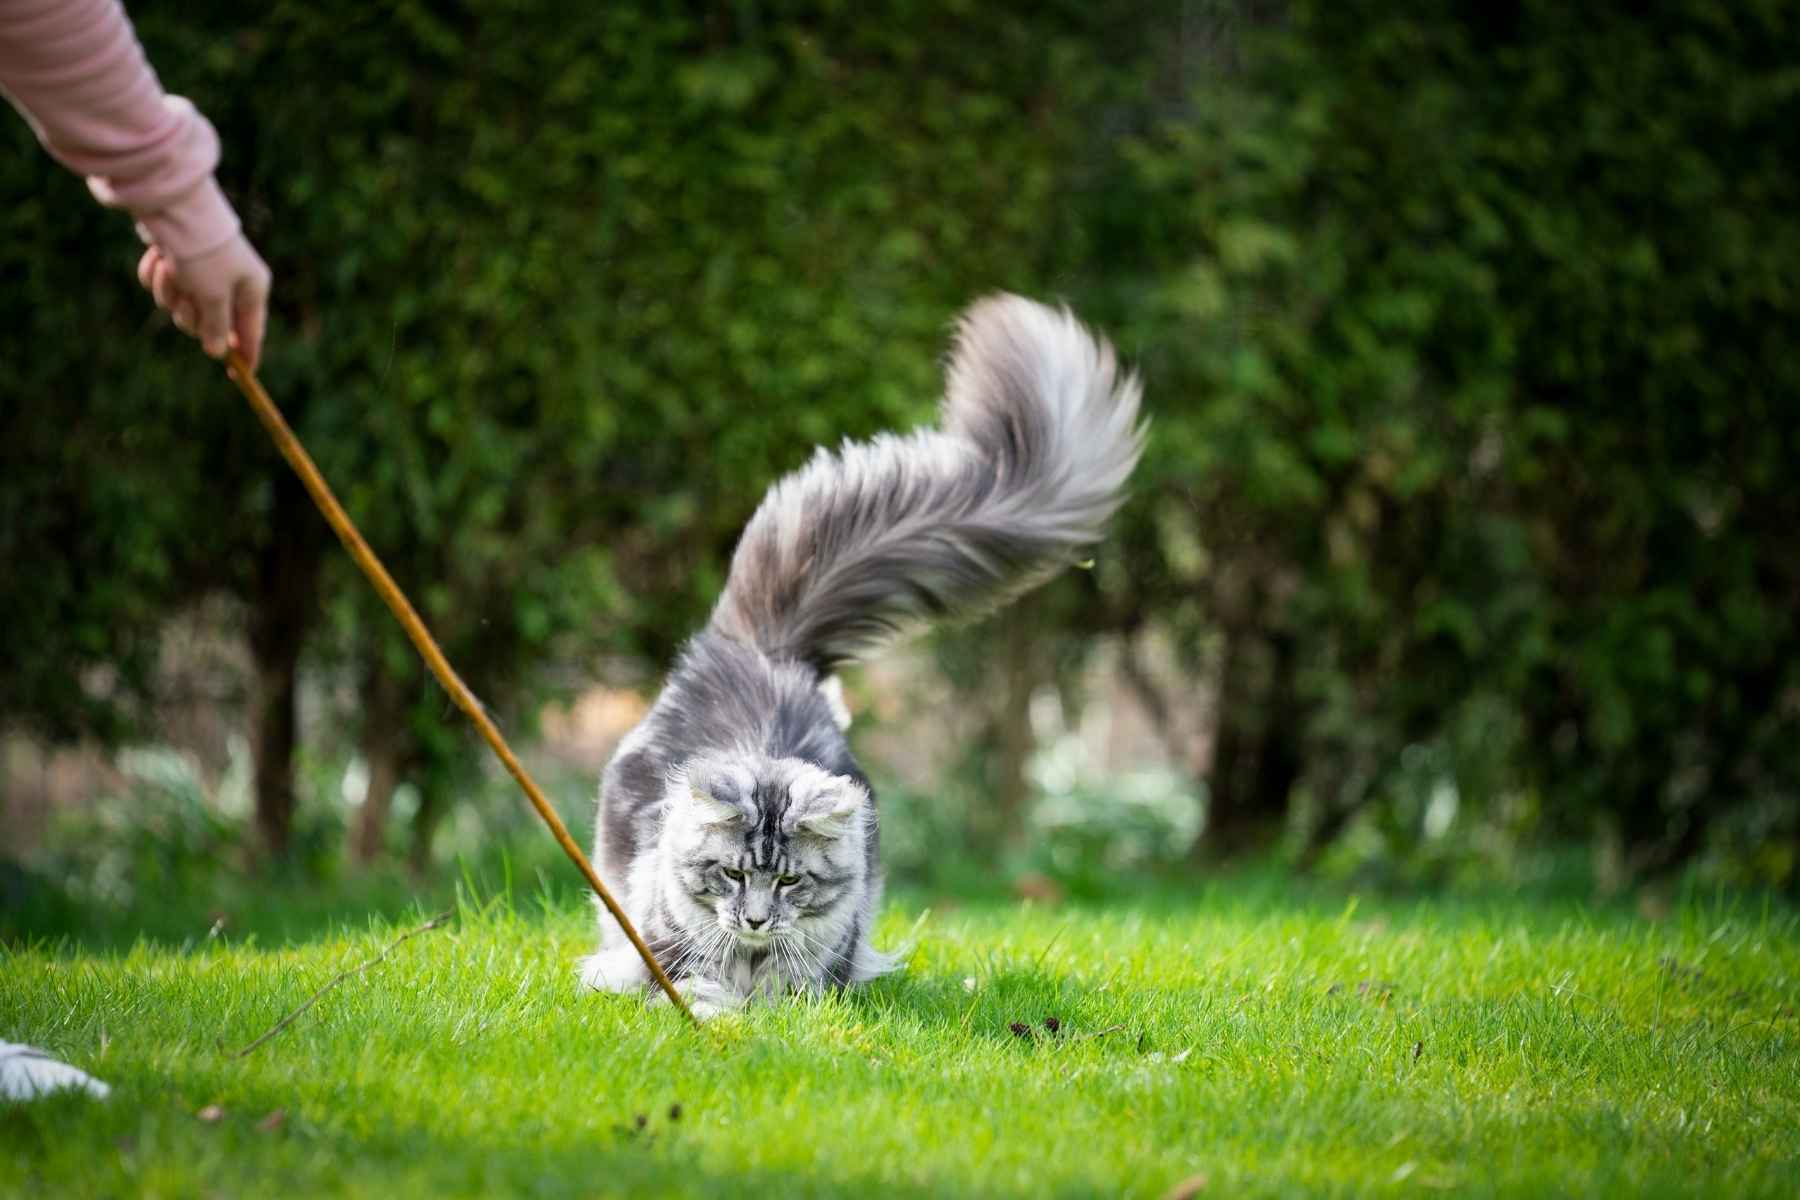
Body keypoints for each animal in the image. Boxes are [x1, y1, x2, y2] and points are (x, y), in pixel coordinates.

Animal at [583, 295, 1144, 1021]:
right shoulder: (666, 954)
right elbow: (695, 987)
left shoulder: (819, 977)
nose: (755, 920)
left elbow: (789, 994)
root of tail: (764, 650)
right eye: (733, 873)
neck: (751, 961)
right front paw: (717, 1016)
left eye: (789, 881)